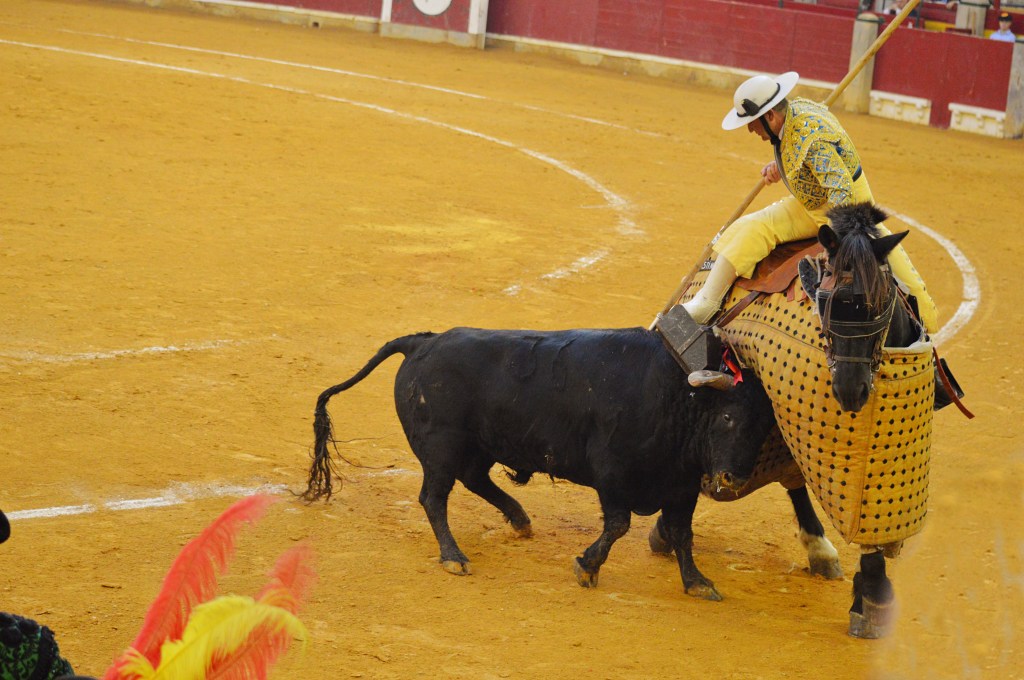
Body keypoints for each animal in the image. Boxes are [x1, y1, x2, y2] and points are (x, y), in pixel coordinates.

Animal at [303, 327, 777, 600]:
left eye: (765, 428)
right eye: (728, 417)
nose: (732, 479)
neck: (677, 395)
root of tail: (423, 341)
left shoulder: (680, 485)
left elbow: (682, 533)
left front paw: (697, 582)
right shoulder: (612, 474)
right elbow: (618, 524)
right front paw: (586, 567)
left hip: (476, 446)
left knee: (474, 479)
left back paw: (519, 519)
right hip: (441, 447)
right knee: (434, 498)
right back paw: (454, 556)